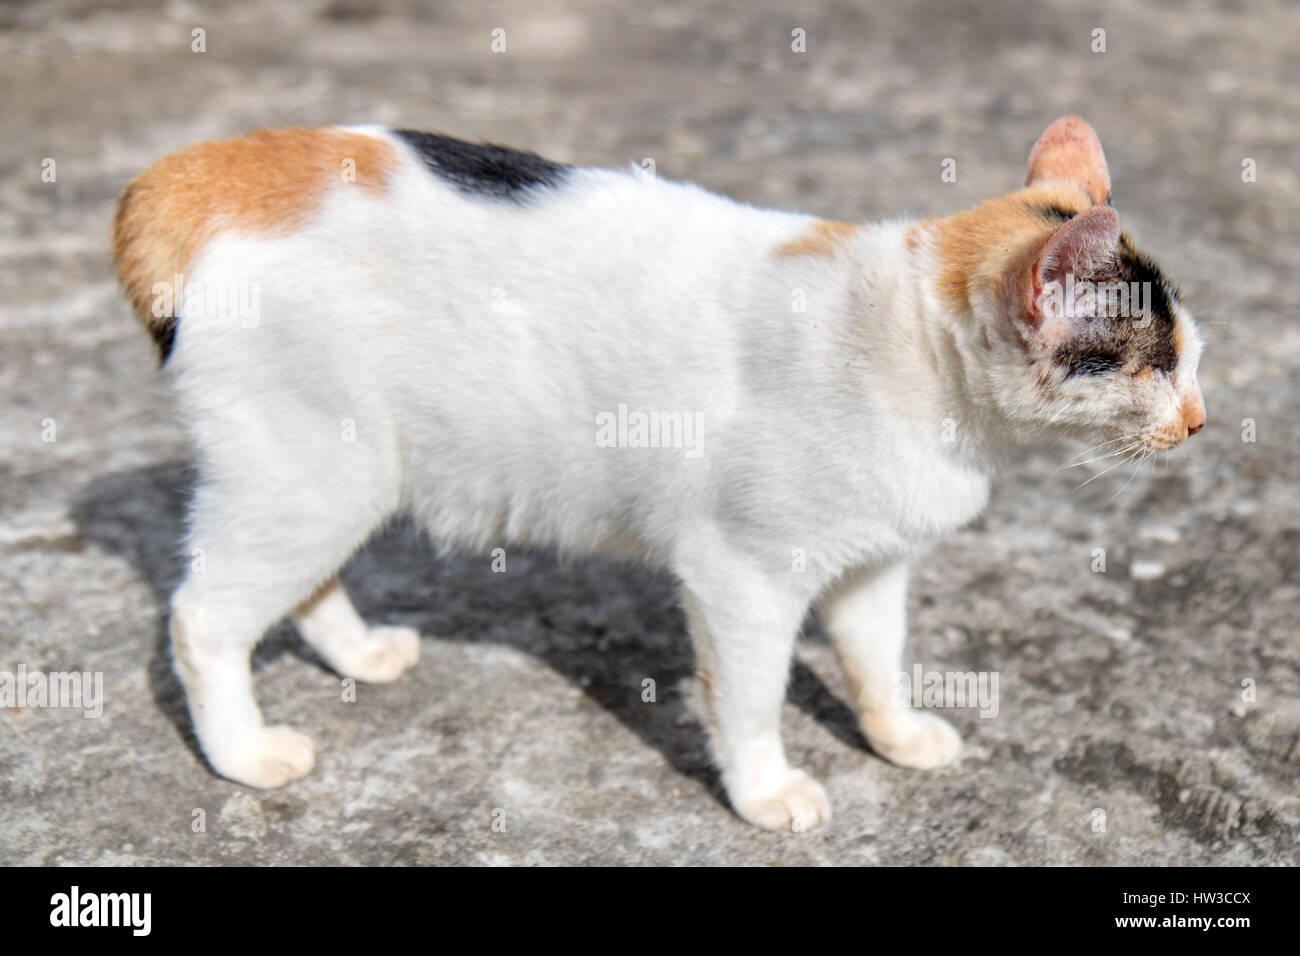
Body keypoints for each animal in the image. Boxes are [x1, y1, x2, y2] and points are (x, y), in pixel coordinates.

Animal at [114, 113, 1206, 832]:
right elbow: (752, 700)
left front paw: (894, 736)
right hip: (308, 479)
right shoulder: (742, 578)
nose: (1198, 420)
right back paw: (245, 753)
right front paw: (764, 793)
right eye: (1156, 367)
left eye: (1191, 358)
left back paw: (359, 655)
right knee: (202, 618)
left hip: (336, 483)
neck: (911, 352)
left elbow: (875, 661)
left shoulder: (872, 566)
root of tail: (211, 166)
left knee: (302, 588)